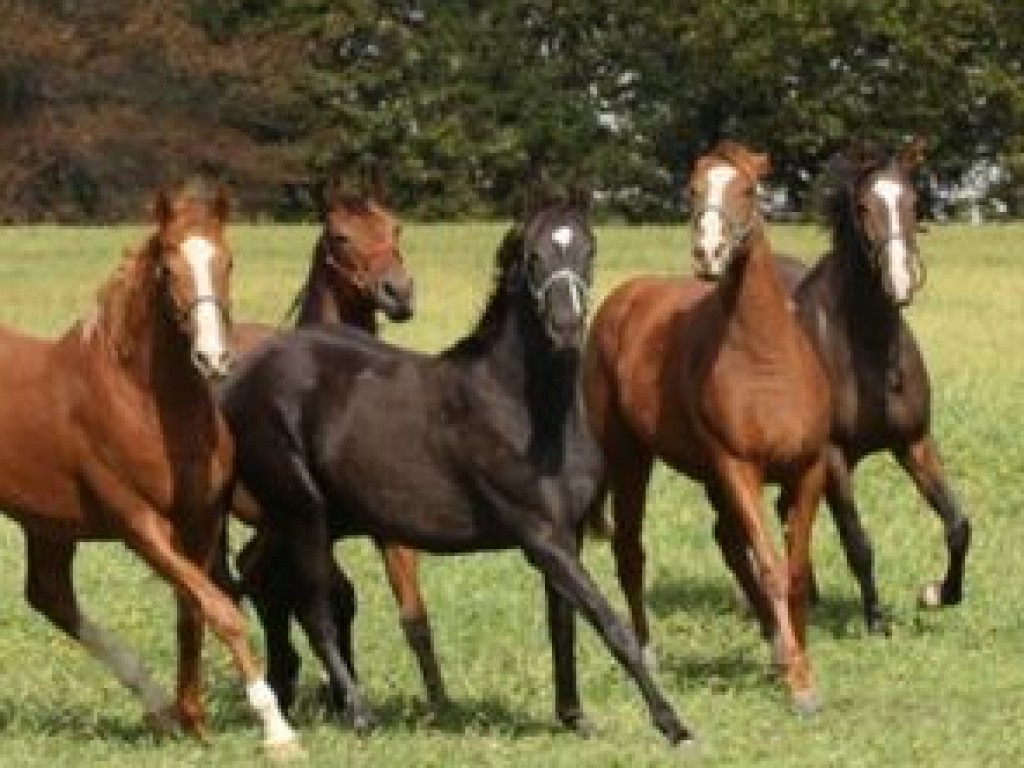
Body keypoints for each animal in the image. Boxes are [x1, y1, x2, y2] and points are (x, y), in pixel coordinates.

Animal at [0, 179, 299, 757]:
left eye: (229, 260)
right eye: (166, 268)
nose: (213, 359)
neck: (141, 401)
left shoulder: (199, 523)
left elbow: (193, 611)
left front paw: (193, 717)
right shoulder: (140, 525)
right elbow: (223, 612)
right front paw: (277, 729)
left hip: (48, 524)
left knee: (50, 597)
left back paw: (159, 708)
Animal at [219, 192, 692, 745]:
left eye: (589, 250)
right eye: (532, 256)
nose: (567, 327)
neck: (525, 411)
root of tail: (237, 380)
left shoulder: (567, 535)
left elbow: (564, 624)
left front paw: (574, 716)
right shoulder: (541, 538)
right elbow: (608, 621)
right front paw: (673, 725)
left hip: (305, 519)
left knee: (261, 576)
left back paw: (287, 694)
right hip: (304, 515)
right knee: (315, 610)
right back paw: (358, 713)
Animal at [585, 141, 831, 712]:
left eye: (749, 190)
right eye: (694, 190)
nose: (708, 254)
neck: (765, 362)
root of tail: (622, 300)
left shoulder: (807, 470)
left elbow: (796, 571)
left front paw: (798, 663)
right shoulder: (739, 467)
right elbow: (771, 568)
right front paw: (801, 685)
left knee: (725, 542)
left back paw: (775, 647)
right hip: (630, 458)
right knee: (630, 550)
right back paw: (648, 655)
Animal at [770, 141, 970, 634]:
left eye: (913, 202)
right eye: (863, 207)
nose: (899, 282)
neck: (870, 350)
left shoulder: (913, 442)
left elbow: (958, 525)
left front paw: (938, 594)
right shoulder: (833, 455)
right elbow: (858, 542)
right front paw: (876, 621)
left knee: (788, 514)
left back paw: (809, 593)